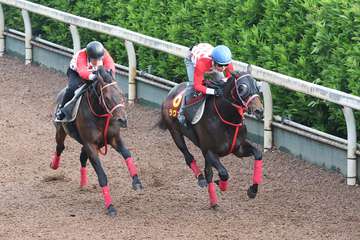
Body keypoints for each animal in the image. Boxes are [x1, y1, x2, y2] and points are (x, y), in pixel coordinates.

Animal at [51, 41, 143, 218]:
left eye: (121, 93)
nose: (122, 120)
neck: (100, 115)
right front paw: (110, 207)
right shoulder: (91, 145)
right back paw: (54, 164)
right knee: (60, 146)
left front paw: (137, 182)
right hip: (61, 130)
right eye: (107, 97)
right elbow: (102, 175)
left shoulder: (113, 138)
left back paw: (83, 183)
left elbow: (127, 154)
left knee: (81, 157)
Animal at [159, 43, 262, 208]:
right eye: (241, 88)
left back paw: (213, 200)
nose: (259, 110)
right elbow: (224, 173)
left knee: (208, 171)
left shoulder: (238, 149)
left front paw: (252, 191)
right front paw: (221, 184)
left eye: (257, 87)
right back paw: (201, 180)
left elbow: (258, 154)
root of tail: (171, 92)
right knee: (189, 157)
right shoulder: (209, 151)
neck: (226, 119)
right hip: (175, 133)